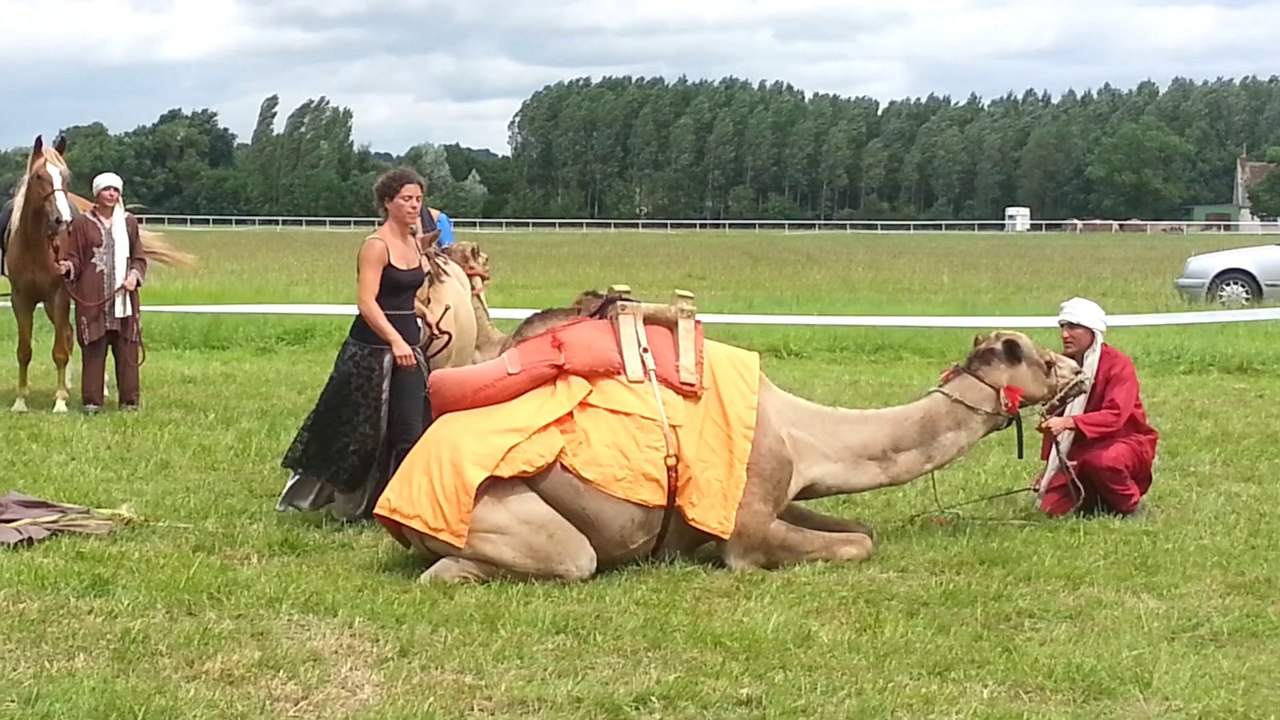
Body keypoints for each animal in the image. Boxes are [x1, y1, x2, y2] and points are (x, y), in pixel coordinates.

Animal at [4, 134, 196, 413]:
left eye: (66, 176)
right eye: (39, 176)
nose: (62, 220)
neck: (36, 246)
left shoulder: (59, 296)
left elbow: (59, 351)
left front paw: (59, 403)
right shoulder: (21, 300)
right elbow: (24, 351)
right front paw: (20, 401)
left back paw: (96, 388)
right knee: (69, 335)